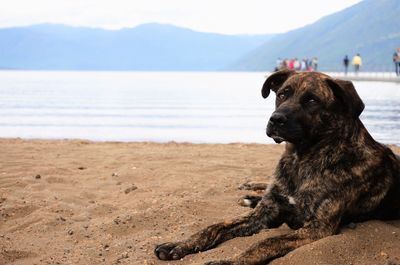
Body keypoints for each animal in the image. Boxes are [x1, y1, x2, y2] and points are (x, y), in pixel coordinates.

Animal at [154, 70, 400, 264]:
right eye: (282, 94)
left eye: (312, 100)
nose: (276, 119)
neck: (301, 158)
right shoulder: (265, 212)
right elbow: (214, 226)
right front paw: (179, 244)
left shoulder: (317, 228)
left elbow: (266, 242)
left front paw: (229, 262)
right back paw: (250, 191)